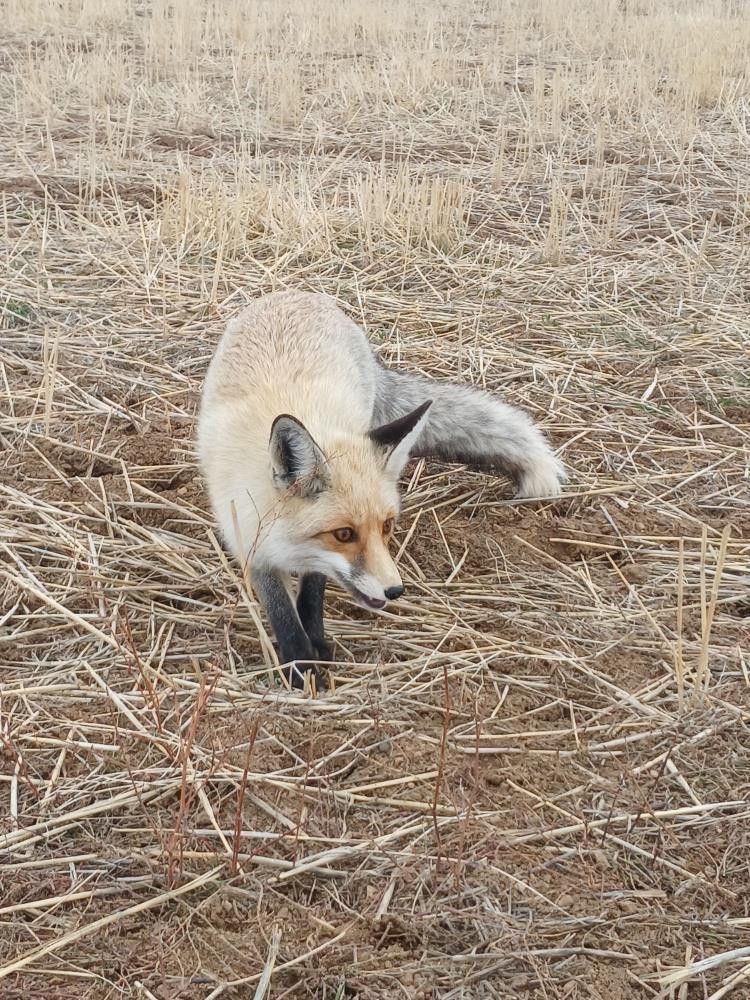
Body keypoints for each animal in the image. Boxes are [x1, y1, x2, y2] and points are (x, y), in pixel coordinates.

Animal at [197, 292, 568, 688]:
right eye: (344, 534)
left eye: (387, 526)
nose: (395, 591)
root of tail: (296, 294)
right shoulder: (249, 542)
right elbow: (282, 614)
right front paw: (302, 669)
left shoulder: (311, 559)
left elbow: (313, 591)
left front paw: (317, 646)